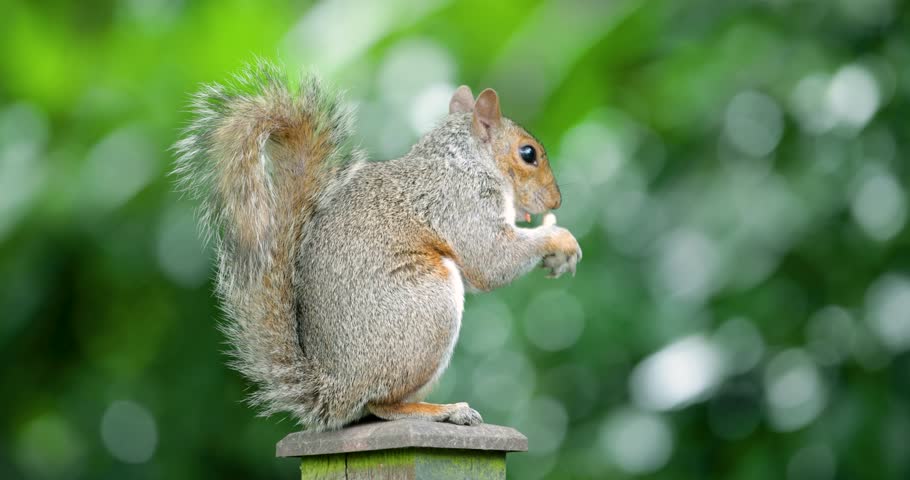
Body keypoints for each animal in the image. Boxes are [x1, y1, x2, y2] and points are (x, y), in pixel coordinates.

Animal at [172, 61, 582, 431]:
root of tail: (335, 389)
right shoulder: (462, 202)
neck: (464, 159)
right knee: (381, 404)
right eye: (528, 153)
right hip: (427, 310)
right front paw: (560, 239)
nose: (557, 201)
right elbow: (491, 260)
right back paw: (442, 410)